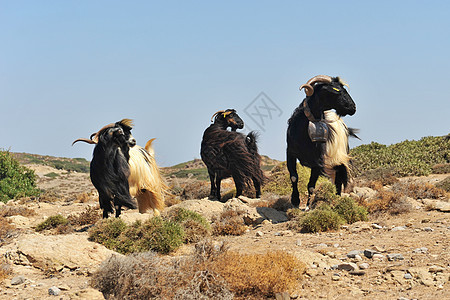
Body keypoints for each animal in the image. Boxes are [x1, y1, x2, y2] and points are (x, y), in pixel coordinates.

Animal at [288, 75, 358, 209]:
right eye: (336, 90)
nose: (353, 108)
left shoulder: (317, 161)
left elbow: (311, 185)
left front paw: (308, 206)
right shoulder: (290, 152)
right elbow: (294, 177)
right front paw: (295, 201)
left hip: (338, 160)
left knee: (338, 181)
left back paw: (337, 199)